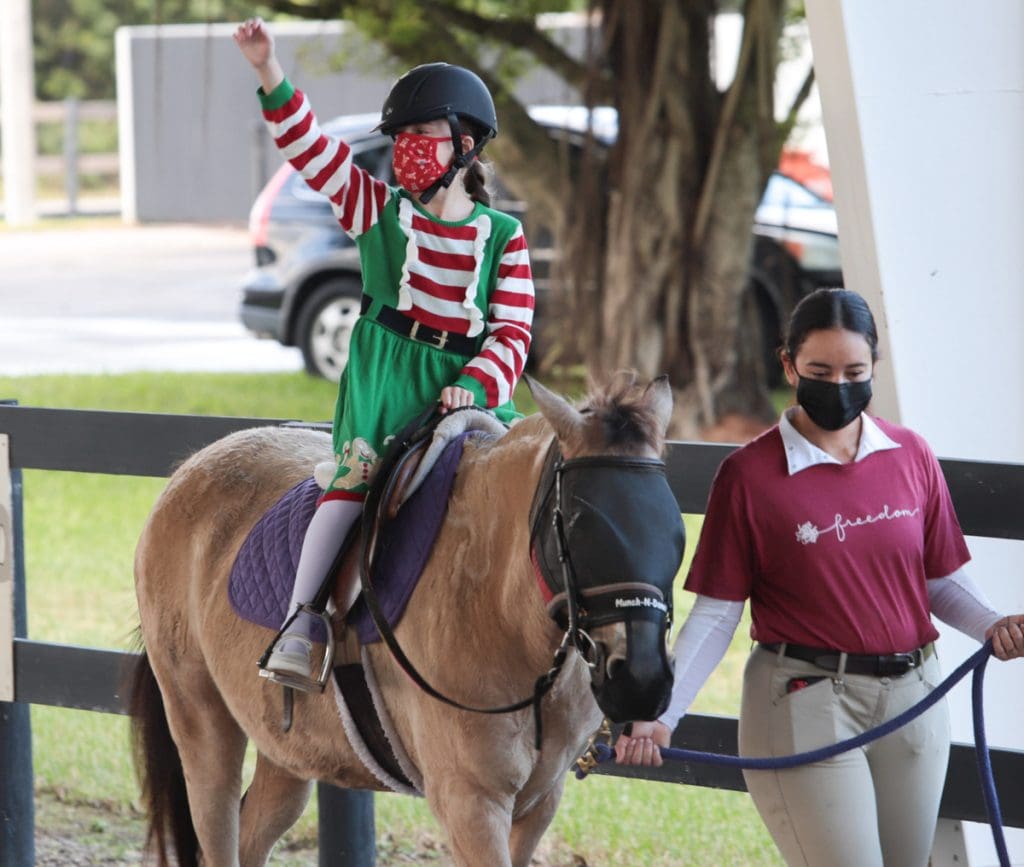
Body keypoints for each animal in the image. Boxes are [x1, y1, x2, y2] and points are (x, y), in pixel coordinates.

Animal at [129, 375, 685, 867]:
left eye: (675, 528)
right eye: (581, 522)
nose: (642, 680)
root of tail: (190, 469)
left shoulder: (540, 801)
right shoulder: (470, 802)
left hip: (286, 749)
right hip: (199, 716)